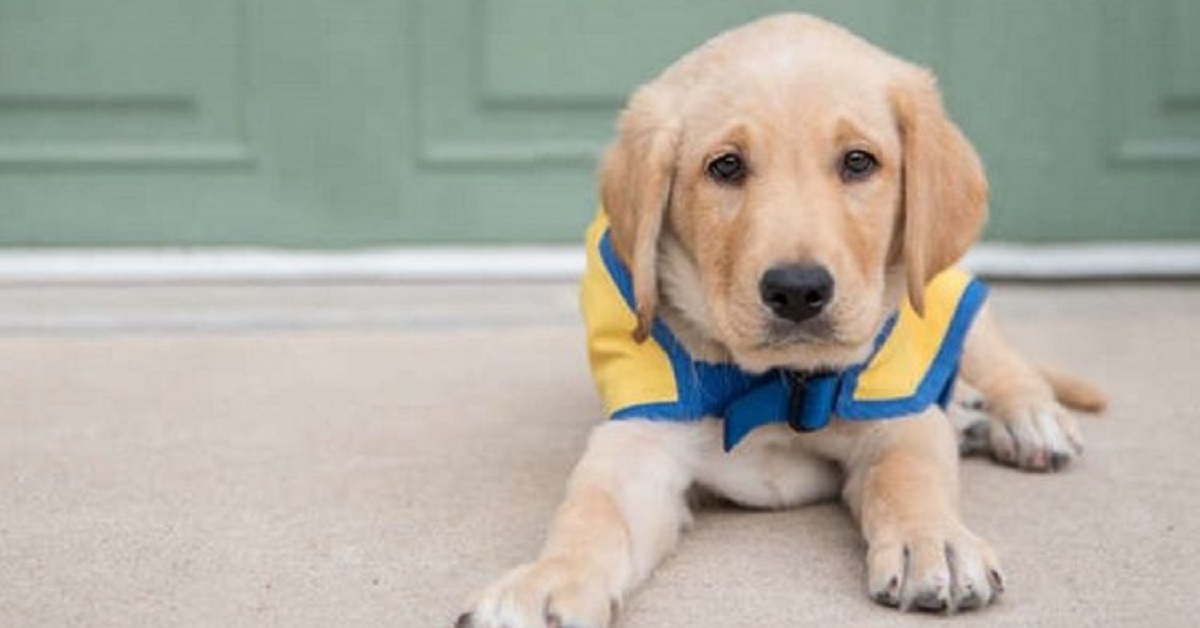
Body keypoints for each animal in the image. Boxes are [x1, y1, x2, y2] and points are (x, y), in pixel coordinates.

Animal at [458, 14, 1104, 628]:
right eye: (725, 167)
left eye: (858, 162)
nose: (797, 291)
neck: (777, 382)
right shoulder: (641, 439)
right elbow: (592, 513)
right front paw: (547, 582)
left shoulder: (896, 415)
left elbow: (911, 475)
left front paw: (934, 542)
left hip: (946, 289)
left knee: (1002, 360)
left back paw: (1027, 419)